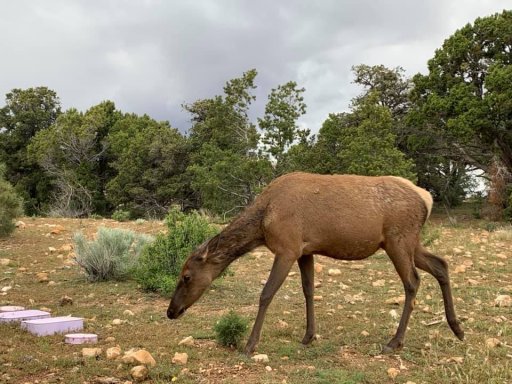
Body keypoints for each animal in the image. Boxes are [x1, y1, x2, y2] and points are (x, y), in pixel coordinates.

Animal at [168, 173, 464, 354]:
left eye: (186, 275)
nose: (171, 311)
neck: (263, 223)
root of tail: (427, 198)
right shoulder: (305, 251)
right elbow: (308, 290)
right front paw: (309, 336)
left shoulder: (287, 247)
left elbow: (266, 293)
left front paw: (250, 345)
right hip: (409, 242)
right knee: (441, 264)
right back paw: (457, 328)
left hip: (398, 239)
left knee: (413, 281)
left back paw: (395, 341)